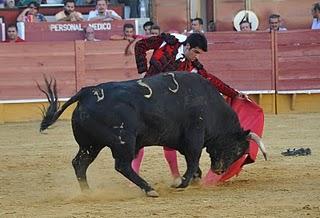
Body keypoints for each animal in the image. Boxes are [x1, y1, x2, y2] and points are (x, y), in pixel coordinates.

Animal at [38, 72, 266, 198]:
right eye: (236, 149)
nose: (219, 170)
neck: (210, 104)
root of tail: (87, 92)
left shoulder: (182, 141)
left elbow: (191, 161)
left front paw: (192, 179)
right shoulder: (194, 135)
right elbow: (193, 159)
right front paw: (182, 183)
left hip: (90, 145)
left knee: (80, 163)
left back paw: (88, 192)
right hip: (123, 141)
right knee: (122, 165)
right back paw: (149, 189)